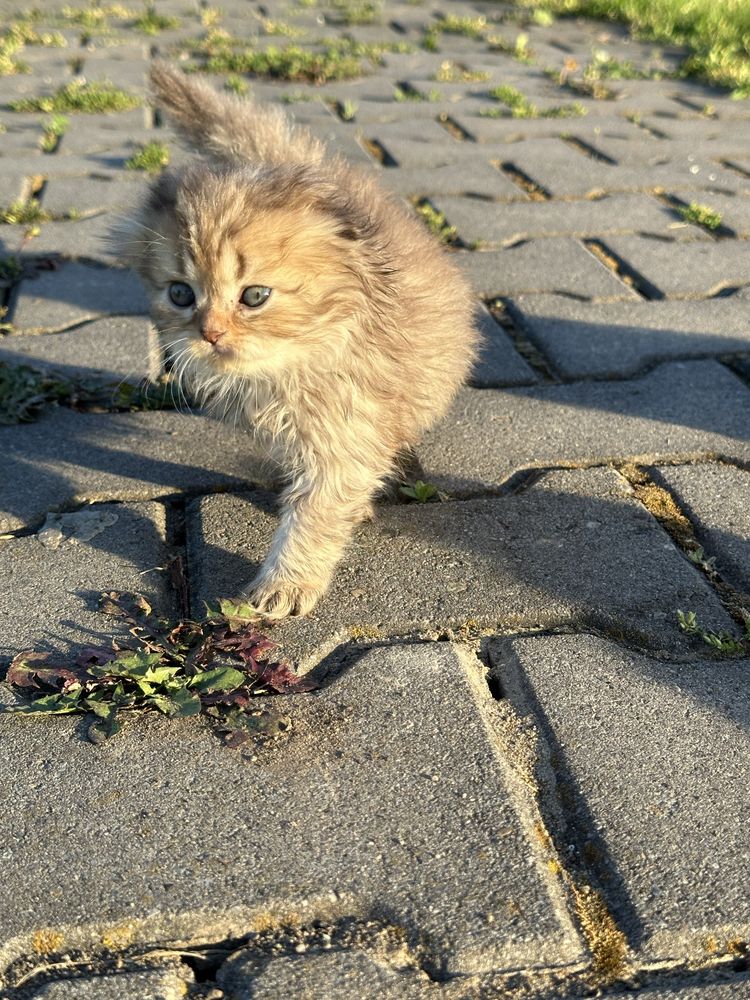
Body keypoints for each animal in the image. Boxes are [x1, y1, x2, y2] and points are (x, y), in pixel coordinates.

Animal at [117, 62, 482, 616]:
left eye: (255, 296)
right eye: (180, 294)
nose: (209, 334)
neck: (288, 366)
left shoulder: (345, 437)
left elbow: (313, 515)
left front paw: (285, 583)